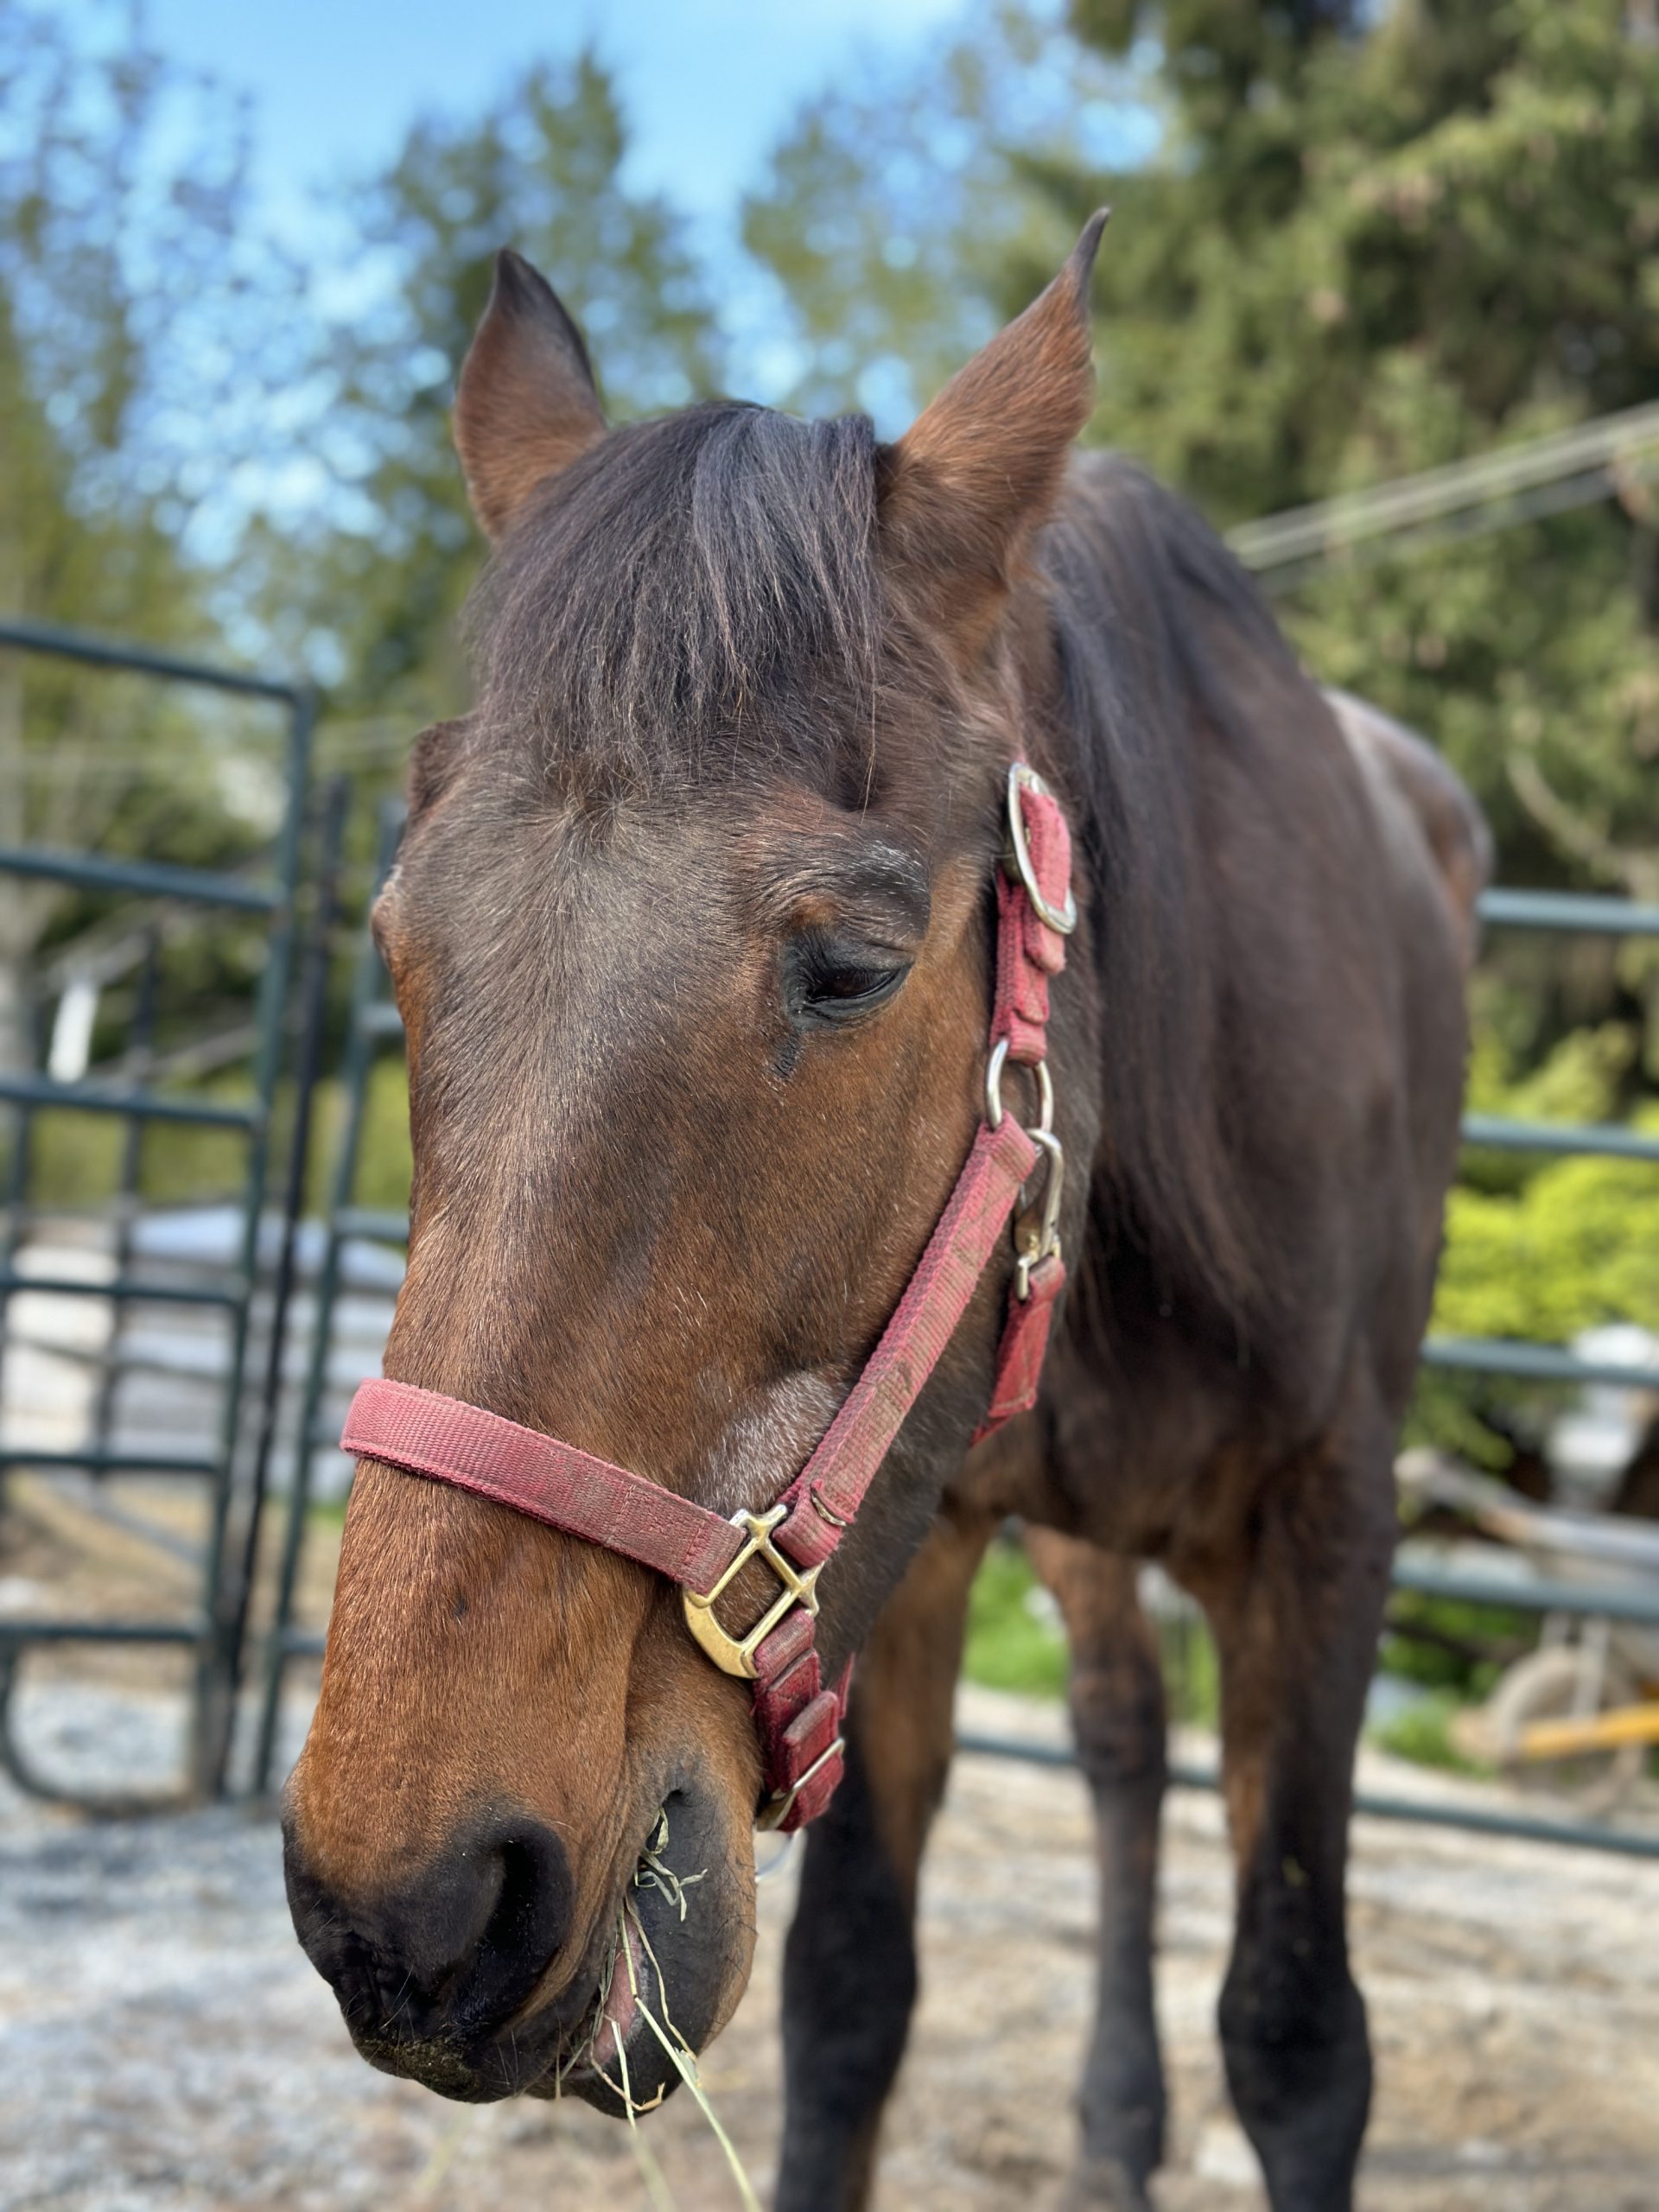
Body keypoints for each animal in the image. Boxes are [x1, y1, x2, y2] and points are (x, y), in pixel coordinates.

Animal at [282, 217, 1486, 2212]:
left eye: (849, 966)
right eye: (398, 943)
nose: (420, 1906)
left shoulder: (1333, 1521)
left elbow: (1301, 2035)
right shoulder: (909, 1548)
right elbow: (855, 2001)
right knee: (1118, 1742)